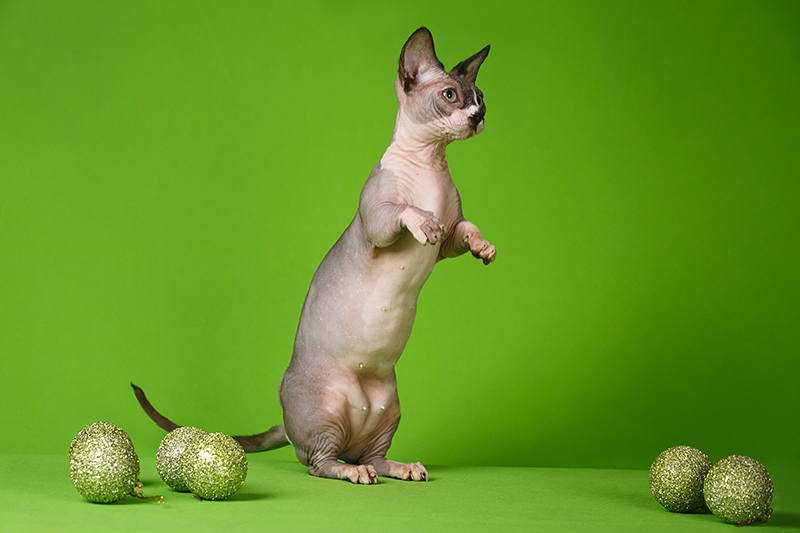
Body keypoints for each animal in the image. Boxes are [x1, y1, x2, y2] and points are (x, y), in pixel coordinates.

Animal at [134, 26, 495, 484]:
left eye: (480, 96)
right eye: (450, 95)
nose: (478, 116)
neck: (431, 163)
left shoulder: (452, 237)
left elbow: (467, 229)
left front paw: (484, 248)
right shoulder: (378, 223)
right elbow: (406, 212)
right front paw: (424, 222)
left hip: (390, 410)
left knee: (371, 456)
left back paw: (402, 467)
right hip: (325, 412)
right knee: (320, 463)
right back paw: (355, 474)